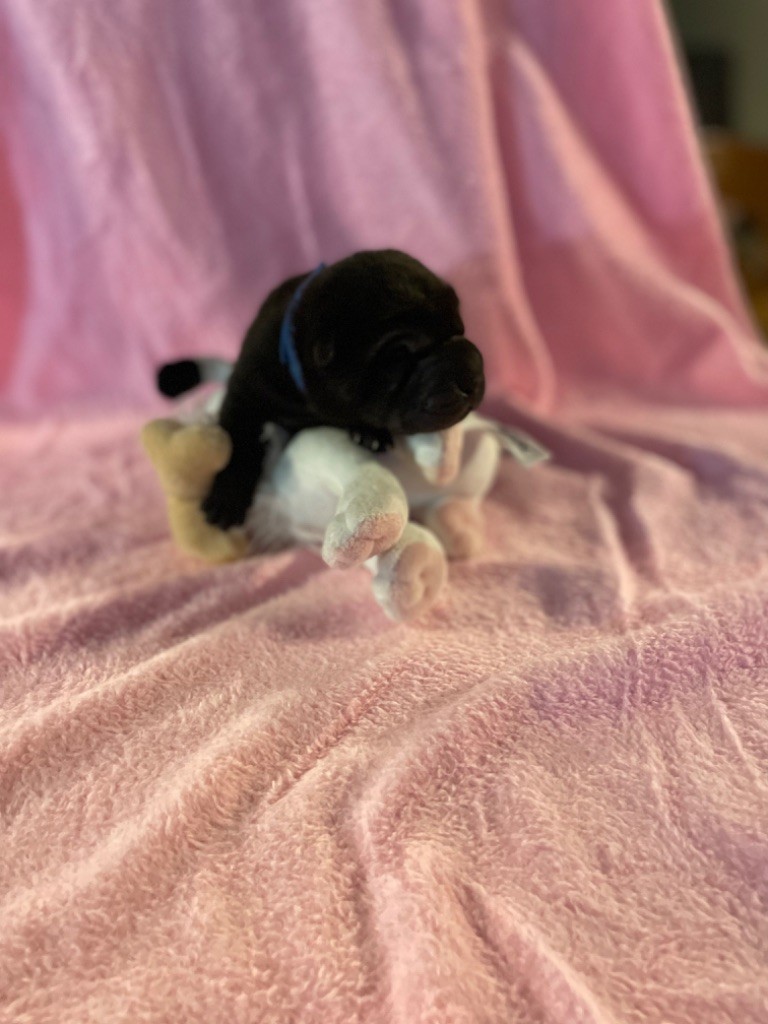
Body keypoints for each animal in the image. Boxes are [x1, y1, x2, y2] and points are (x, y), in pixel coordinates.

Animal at [157, 249, 485, 528]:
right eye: (399, 355)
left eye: (460, 331)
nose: (472, 377)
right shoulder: (244, 395)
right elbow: (238, 444)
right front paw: (227, 499)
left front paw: (370, 432)